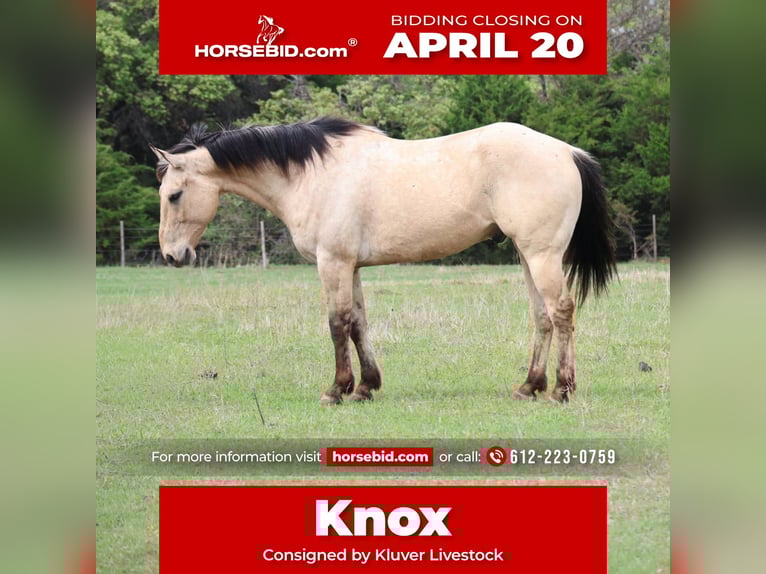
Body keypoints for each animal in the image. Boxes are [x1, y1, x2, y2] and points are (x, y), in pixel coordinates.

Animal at [151, 117, 616, 405]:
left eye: (174, 195)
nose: (173, 255)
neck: (311, 176)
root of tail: (566, 151)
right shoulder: (351, 267)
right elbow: (359, 323)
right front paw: (366, 387)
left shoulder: (332, 263)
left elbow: (337, 323)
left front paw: (337, 390)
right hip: (527, 255)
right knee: (542, 317)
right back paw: (529, 386)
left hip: (541, 255)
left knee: (561, 312)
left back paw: (562, 390)